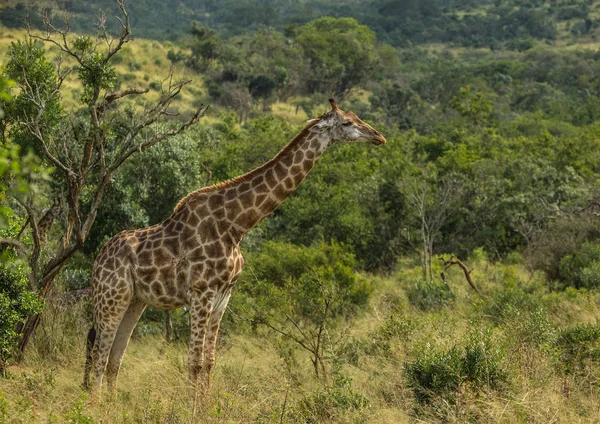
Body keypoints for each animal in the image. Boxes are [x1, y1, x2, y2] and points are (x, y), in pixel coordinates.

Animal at [83, 98, 384, 400]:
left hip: (135, 301)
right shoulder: (201, 293)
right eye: (346, 122)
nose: (378, 136)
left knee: (114, 358)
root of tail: (97, 262)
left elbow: (209, 362)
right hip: (112, 298)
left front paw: (205, 407)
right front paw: (190, 409)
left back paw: (111, 405)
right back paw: (97, 406)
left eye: (356, 116)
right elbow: (194, 362)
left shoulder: (223, 297)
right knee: (98, 354)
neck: (236, 225)